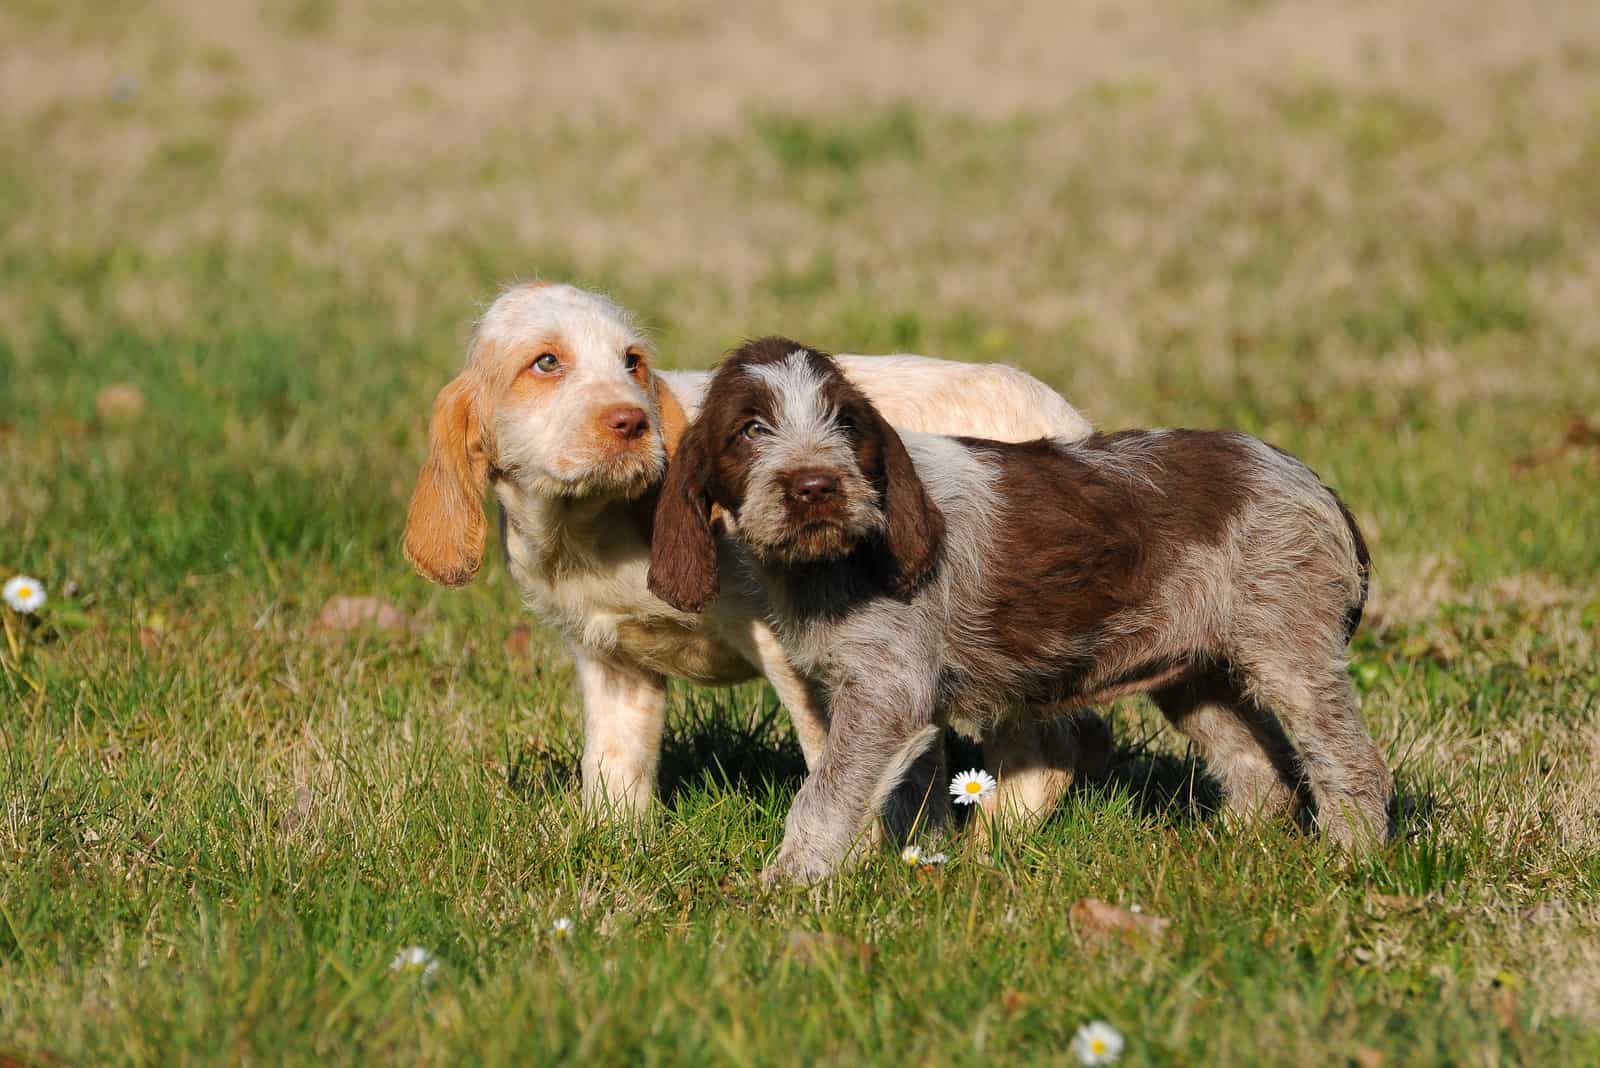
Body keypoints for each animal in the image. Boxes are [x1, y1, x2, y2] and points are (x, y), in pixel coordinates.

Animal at [400, 281, 1100, 818]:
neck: (591, 528)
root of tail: (1074, 429)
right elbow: (613, 771)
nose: (634, 422)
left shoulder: (798, 650)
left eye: (632, 363)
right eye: (545, 363)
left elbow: (836, 761)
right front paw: (608, 849)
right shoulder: (612, 663)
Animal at [643, 337, 1395, 882]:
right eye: (749, 430)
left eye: (847, 424)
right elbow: (904, 793)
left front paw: (784, 888)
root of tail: (1316, 486)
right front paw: (916, 865)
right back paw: (1224, 852)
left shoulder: (887, 693)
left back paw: (1350, 861)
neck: (832, 564)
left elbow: (825, 798)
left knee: (1351, 763)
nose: (814, 487)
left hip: (1290, 651)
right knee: (1257, 768)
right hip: (1195, 672)